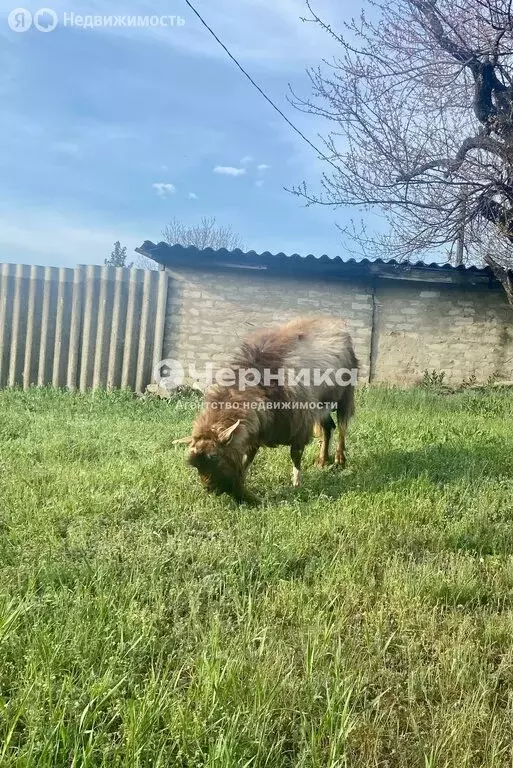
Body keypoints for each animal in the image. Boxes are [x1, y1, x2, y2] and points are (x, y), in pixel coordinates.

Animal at [174, 316, 358, 504]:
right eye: (196, 465)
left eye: (216, 458)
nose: (210, 489)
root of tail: (336, 322)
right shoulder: (256, 430)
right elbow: (248, 459)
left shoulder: (299, 424)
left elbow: (295, 455)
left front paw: (296, 485)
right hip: (322, 406)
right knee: (328, 428)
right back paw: (322, 461)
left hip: (345, 394)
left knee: (342, 425)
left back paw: (339, 459)